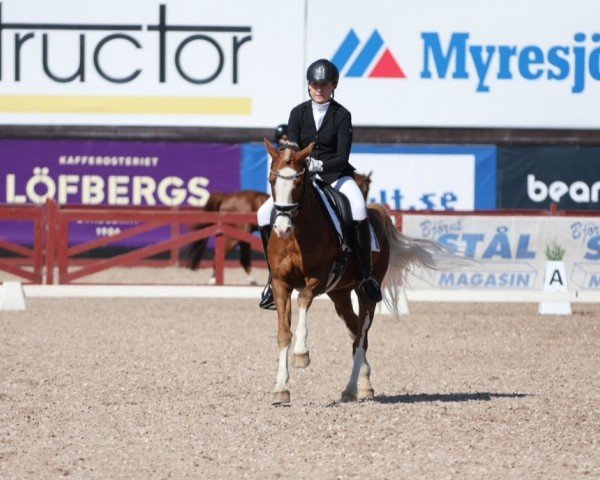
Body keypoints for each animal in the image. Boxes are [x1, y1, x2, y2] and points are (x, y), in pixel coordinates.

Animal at [264, 140, 454, 404]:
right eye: (272, 180)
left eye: (299, 183)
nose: (282, 228)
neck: (297, 234)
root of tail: (376, 214)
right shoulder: (281, 284)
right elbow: (283, 334)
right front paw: (281, 388)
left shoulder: (318, 278)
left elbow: (303, 299)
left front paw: (302, 354)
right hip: (340, 295)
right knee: (355, 333)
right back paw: (364, 383)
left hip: (365, 293)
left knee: (361, 337)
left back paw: (351, 388)